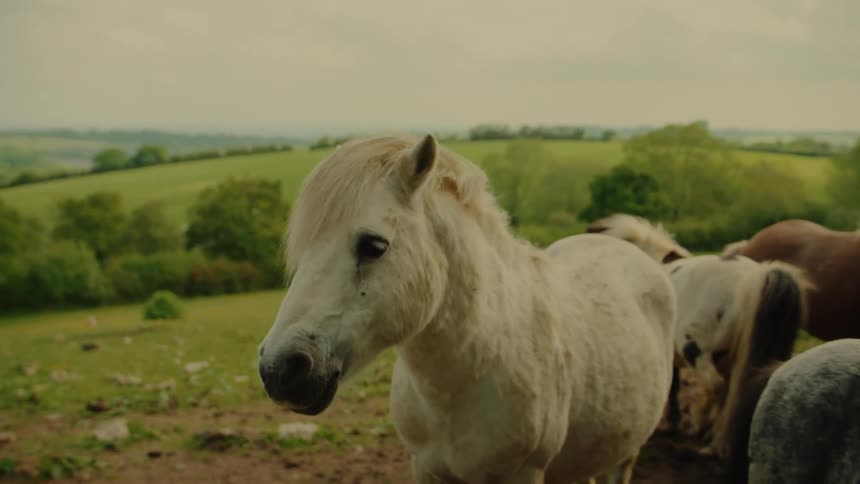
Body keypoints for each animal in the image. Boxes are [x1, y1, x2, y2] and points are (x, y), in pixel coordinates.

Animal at [258, 135, 677, 484]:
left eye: (373, 245)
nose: (279, 370)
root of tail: (635, 249)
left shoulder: (523, 474)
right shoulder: (427, 469)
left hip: (624, 454)